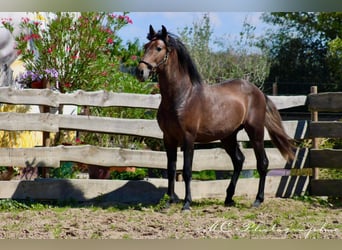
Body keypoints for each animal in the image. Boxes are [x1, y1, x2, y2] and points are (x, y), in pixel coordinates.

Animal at [136, 25, 294, 210]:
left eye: (159, 48)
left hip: (255, 132)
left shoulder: (188, 138)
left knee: (262, 163)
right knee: (239, 161)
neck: (182, 97)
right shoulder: (168, 138)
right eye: (146, 46)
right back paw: (229, 198)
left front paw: (186, 203)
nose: (140, 71)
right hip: (228, 137)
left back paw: (257, 200)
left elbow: (187, 170)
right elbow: (171, 169)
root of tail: (259, 92)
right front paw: (169, 202)